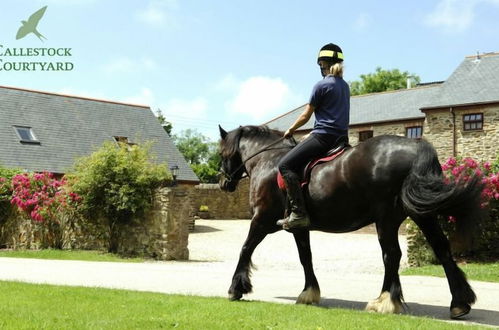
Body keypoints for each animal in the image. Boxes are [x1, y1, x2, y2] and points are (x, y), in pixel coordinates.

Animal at [219, 125, 484, 318]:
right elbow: (306, 257)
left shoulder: (262, 220)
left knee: (391, 255)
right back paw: (459, 303)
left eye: (222, 154)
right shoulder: (299, 227)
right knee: (441, 249)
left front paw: (236, 289)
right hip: (422, 214)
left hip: (386, 218)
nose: (223, 183)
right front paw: (309, 293)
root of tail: (415, 145)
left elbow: (245, 248)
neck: (268, 160)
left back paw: (385, 301)